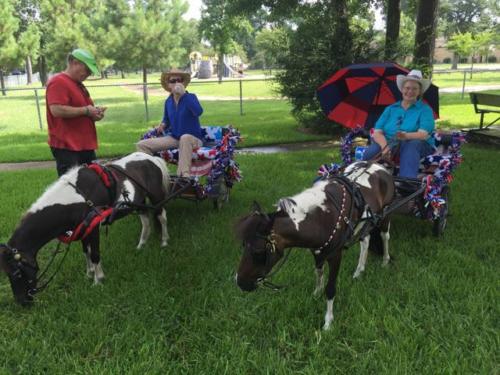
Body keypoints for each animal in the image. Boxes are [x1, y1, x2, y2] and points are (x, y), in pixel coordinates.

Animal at [0, 152, 170, 306]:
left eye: (16, 272)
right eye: (6, 273)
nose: (22, 302)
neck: (78, 197)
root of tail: (151, 158)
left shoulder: (94, 228)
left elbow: (94, 254)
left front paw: (98, 280)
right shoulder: (83, 229)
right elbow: (85, 251)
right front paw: (89, 273)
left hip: (156, 197)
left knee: (162, 217)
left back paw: (164, 241)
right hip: (139, 202)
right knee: (146, 221)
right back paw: (141, 245)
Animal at [234, 160, 394, 330]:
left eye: (258, 251)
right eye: (243, 245)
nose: (239, 282)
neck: (323, 217)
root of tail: (381, 166)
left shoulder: (335, 255)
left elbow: (330, 288)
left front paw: (328, 322)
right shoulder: (317, 251)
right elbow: (318, 272)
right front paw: (316, 293)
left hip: (386, 215)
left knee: (385, 236)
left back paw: (385, 260)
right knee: (365, 240)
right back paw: (359, 270)